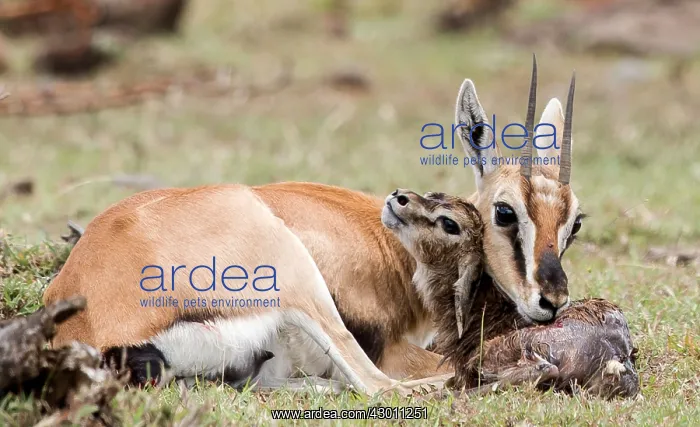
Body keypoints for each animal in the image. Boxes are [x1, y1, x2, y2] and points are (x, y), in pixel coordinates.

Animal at [43, 55, 581, 382]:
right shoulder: (393, 348)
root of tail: (85, 325)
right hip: (300, 282)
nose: (551, 302)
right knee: (382, 387)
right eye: (505, 211)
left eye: (574, 222)